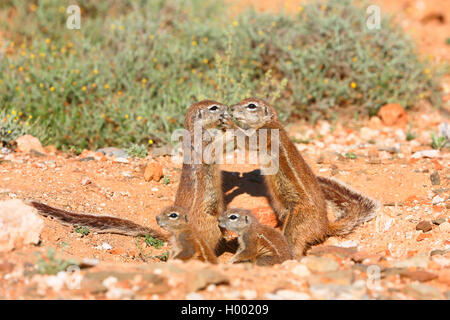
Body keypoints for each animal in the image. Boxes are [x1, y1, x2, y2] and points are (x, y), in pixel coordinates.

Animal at [227, 97, 378, 258]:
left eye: (251, 105)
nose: (231, 108)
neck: (271, 121)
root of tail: (324, 227)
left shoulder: (264, 134)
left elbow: (248, 142)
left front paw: (230, 124)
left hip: (296, 224)